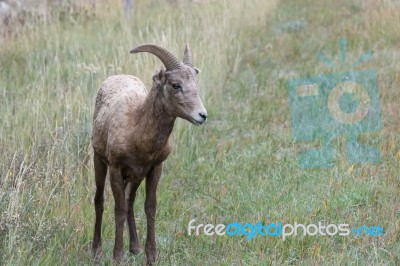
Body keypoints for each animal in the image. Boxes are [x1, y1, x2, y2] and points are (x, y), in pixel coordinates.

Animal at [92, 43, 208, 264]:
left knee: (130, 201)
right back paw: (96, 251)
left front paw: (151, 256)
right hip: (99, 162)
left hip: (136, 177)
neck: (137, 129)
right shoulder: (116, 169)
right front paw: (117, 257)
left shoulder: (154, 168)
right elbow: (118, 210)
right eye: (175, 85)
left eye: (195, 82)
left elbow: (149, 207)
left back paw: (134, 248)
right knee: (99, 200)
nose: (202, 115)